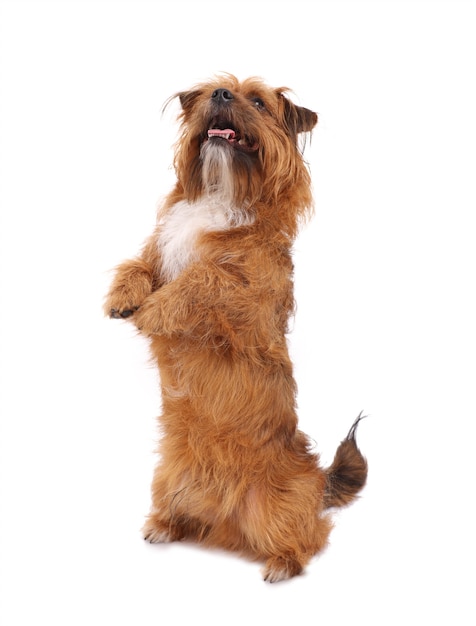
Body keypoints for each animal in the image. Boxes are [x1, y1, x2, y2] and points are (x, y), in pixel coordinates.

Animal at [104, 73, 368, 580]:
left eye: (259, 103)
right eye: (213, 89)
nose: (222, 95)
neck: (220, 191)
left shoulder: (245, 293)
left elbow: (205, 277)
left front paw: (154, 311)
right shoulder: (159, 252)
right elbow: (138, 265)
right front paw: (123, 298)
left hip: (277, 505)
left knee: (310, 535)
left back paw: (282, 562)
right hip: (168, 477)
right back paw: (165, 524)